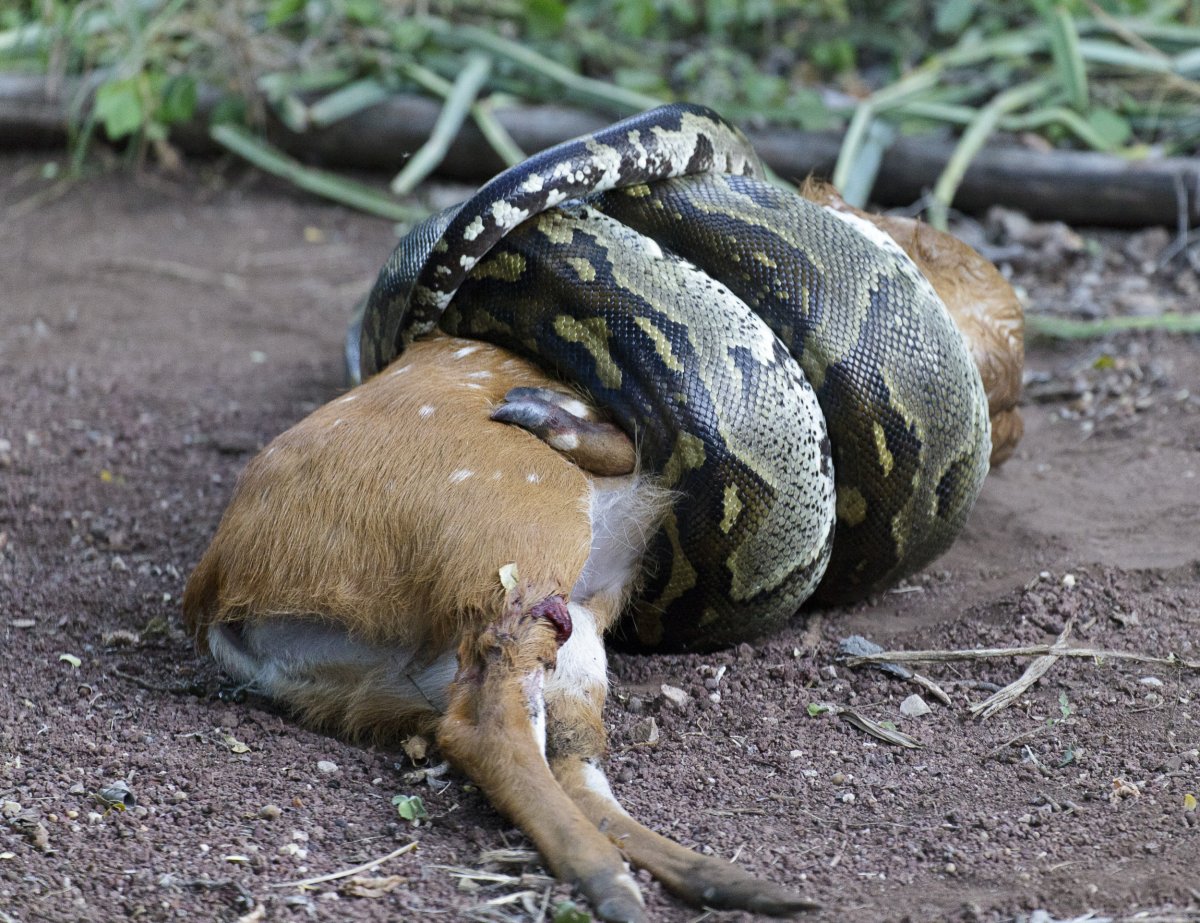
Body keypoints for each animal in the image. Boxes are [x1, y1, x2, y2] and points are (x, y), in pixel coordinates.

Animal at [180, 190, 1022, 916]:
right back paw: (616, 884)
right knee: (484, 721)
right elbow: (632, 439)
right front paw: (551, 415)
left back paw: (721, 881)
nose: (1009, 415)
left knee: (559, 753)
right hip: (522, 539)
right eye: (935, 245)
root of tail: (221, 593)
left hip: (556, 637)